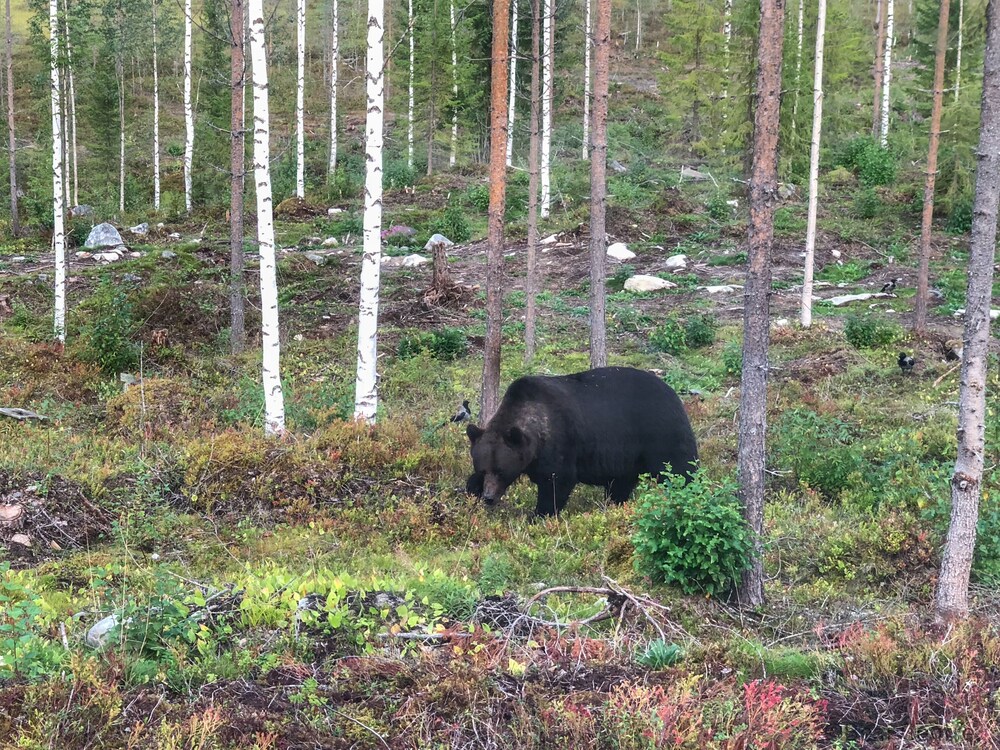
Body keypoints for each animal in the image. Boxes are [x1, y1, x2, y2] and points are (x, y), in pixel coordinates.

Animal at [465, 366, 698, 517]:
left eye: (501, 471)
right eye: (483, 469)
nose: (489, 497)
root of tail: (673, 393)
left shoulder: (561, 443)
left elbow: (556, 483)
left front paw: (539, 515)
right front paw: (471, 490)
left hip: (661, 434)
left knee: (681, 470)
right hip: (629, 457)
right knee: (620, 484)